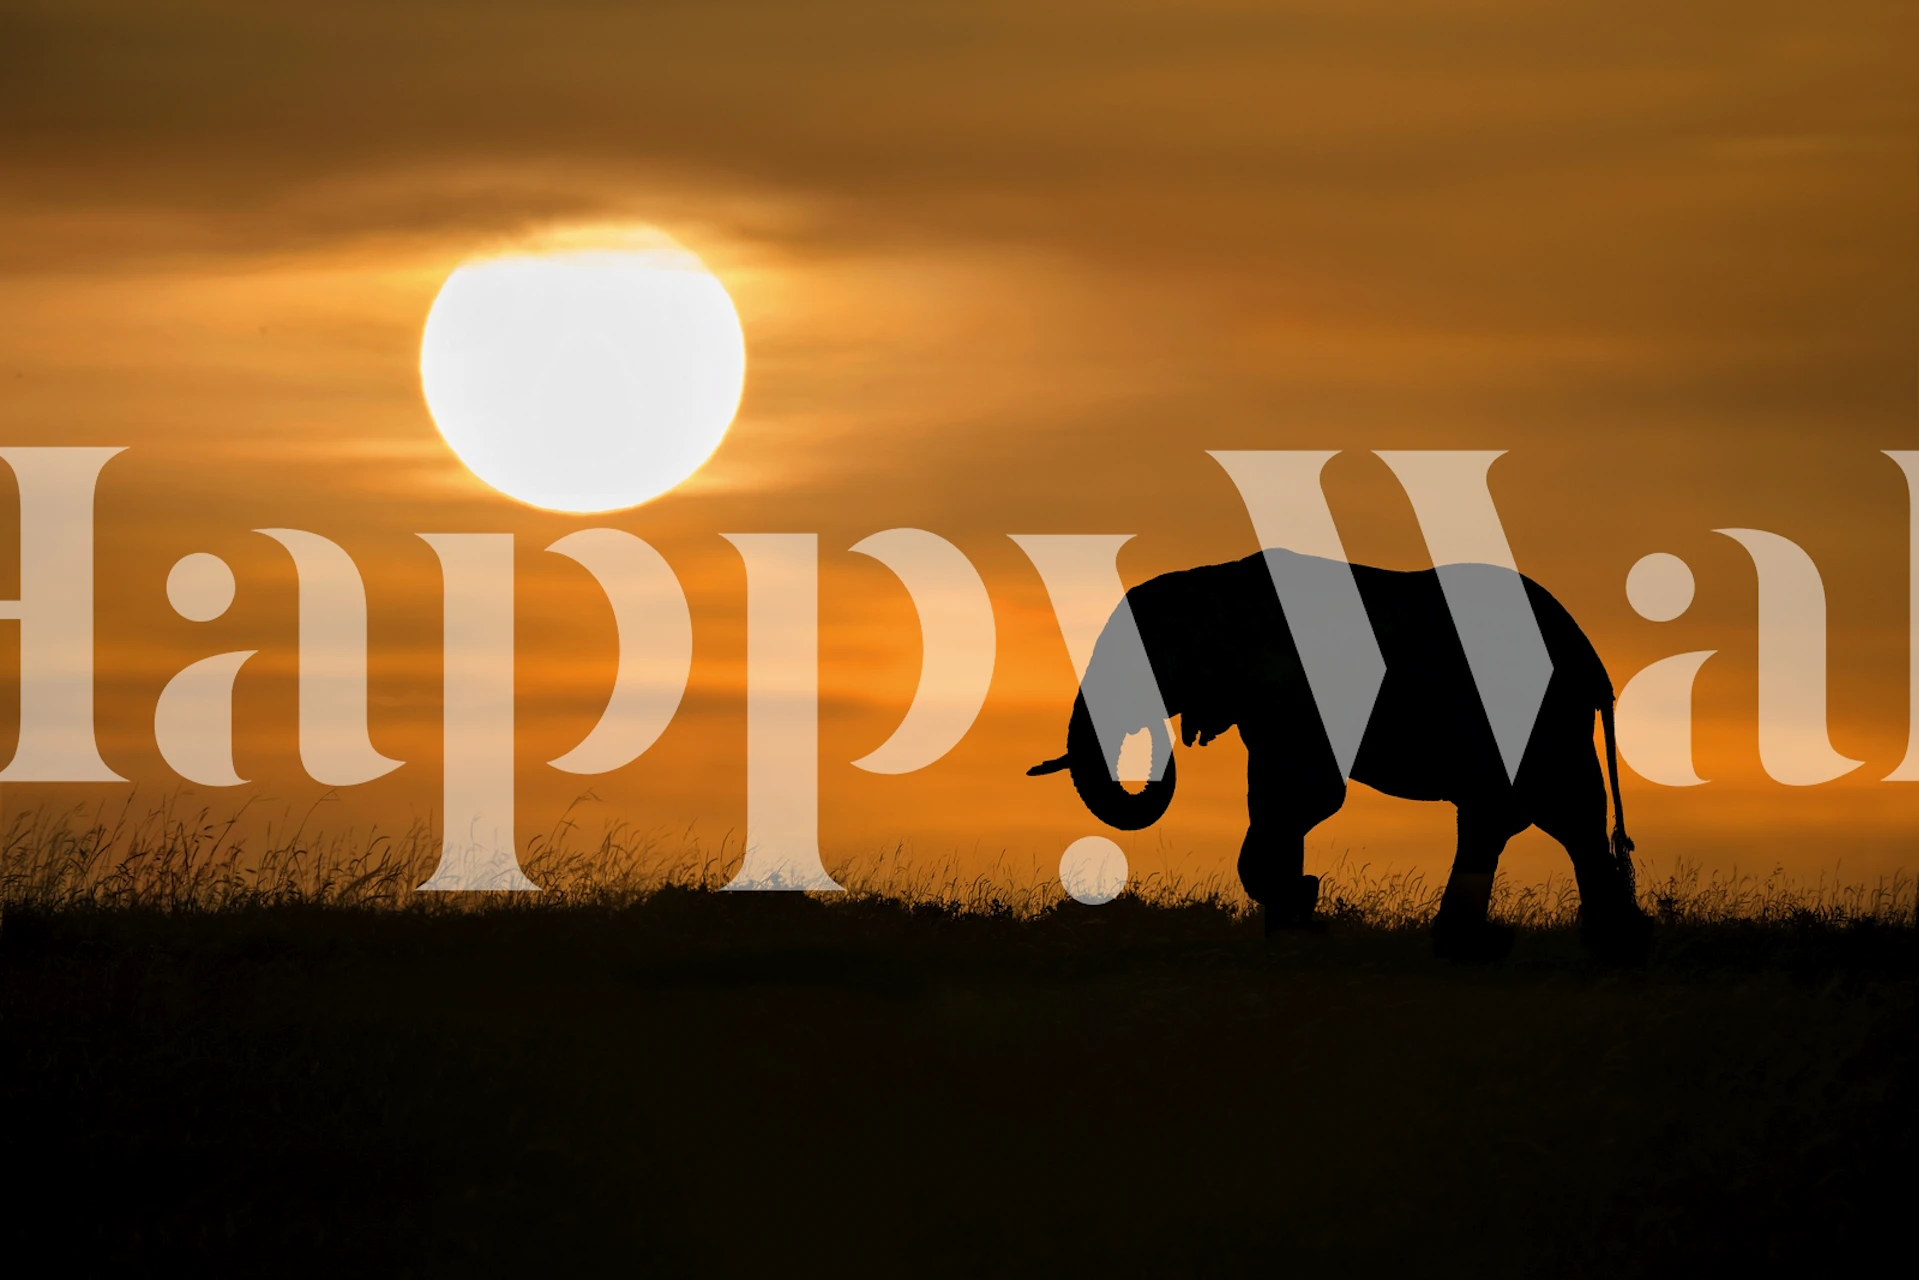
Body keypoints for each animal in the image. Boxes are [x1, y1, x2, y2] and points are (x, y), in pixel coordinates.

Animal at [1029, 548, 1653, 963]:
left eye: (1144, 661)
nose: (1158, 740)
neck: (1216, 582)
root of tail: (1592, 658)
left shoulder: (1297, 692)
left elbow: (1304, 793)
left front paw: (1304, 911)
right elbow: (1276, 794)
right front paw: (1294, 919)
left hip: (1542, 715)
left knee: (1552, 813)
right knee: (1524, 818)